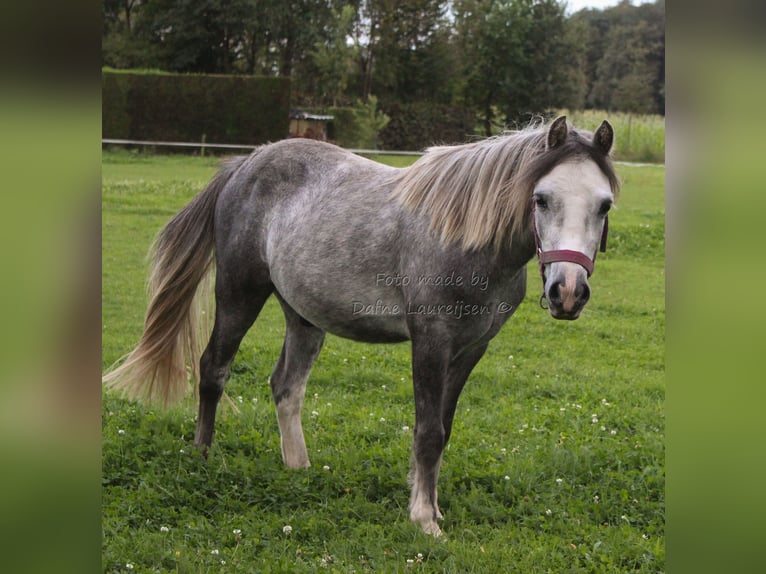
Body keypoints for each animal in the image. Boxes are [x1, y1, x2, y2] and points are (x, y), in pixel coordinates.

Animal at [103, 115, 616, 536]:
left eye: (605, 205)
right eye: (541, 199)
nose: (568, 292)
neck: (466, 239)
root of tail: (246, 164)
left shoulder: (472, 348)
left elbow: (443, 427)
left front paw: (429, 503)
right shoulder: (431, 341)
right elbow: (428, 431)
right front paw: (424, 519)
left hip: (304, 317)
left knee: (286, 386)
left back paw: (298, 467)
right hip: (238, 294)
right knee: (213, 369)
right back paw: (204, 456)